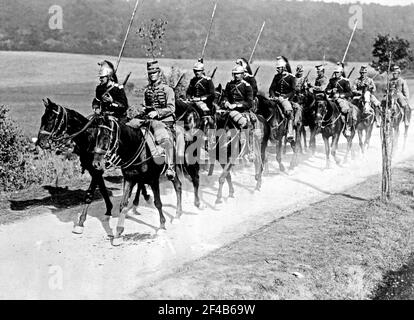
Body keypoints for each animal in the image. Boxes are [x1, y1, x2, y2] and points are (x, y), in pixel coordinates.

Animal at [94, 116, 201, 246]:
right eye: (96, 136)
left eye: (106, 136)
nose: (96, 163)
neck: (137, 149)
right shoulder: (129, 179)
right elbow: (123, 204)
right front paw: (118, 233)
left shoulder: (153, 180)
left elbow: (158, 203)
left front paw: (162, 226)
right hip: (175, 170)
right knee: (178, 186)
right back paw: (177, 215)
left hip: (189, 162)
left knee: (195, 179)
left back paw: (197, 203)